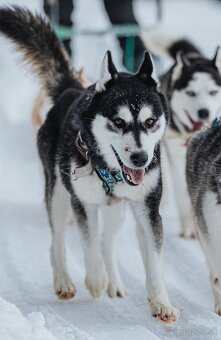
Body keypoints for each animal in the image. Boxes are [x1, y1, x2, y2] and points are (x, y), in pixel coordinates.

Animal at [0, 6, 179, 322]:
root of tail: (71, 91)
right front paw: (96, 279)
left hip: (117, 211)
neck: (109, 170)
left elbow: (153, 259)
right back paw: (65, 281)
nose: (140, 158)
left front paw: (161, 302)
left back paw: (115, 282)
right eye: (118, 121)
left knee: (107, 240)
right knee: (58, 240)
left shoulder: (147, 208)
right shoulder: (81, 202)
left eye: (150, 121)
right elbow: (89, 243)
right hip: (58, 195)